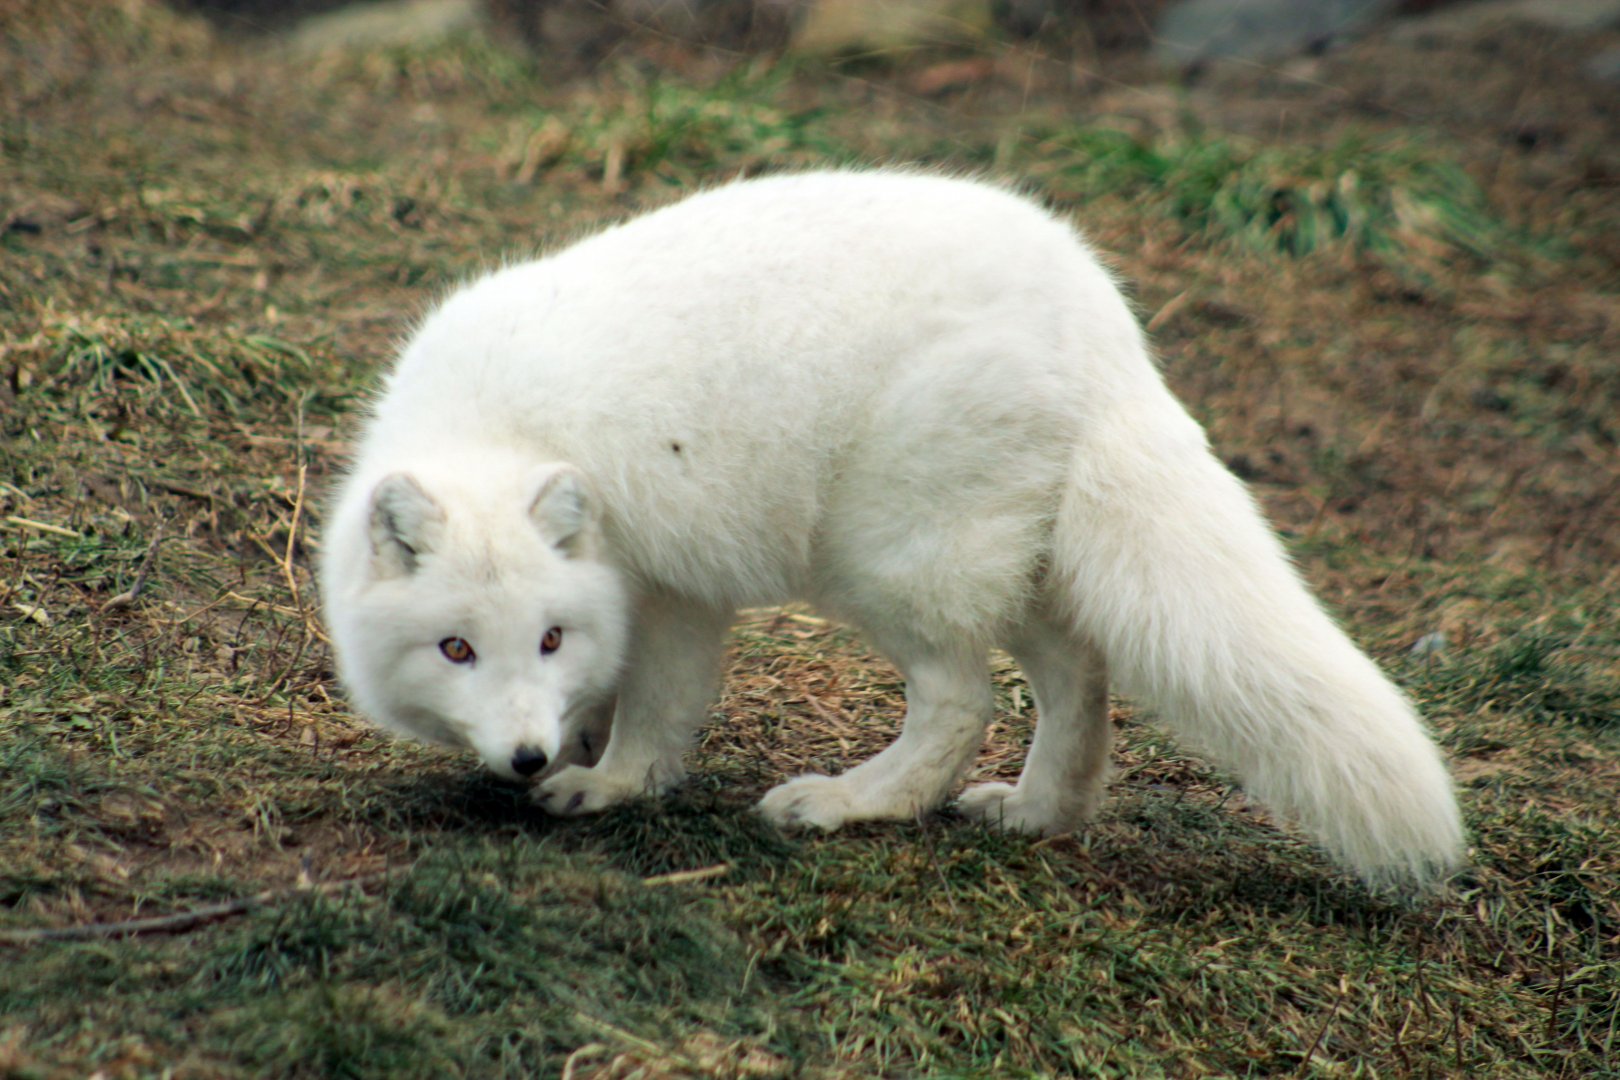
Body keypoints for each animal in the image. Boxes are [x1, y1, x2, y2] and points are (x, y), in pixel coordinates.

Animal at [320, 169, 1464, 887]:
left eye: (547, 637)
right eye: (457, 649)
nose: (520, 758)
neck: (493, 424)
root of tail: (1105, 323)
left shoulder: (669, 586)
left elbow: (658, 707)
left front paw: (606, 783)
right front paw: (584, 746)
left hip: (885, 557)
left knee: (963, 698)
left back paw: (853, 803)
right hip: (1011, 558)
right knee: (1079, 675)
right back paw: (1039, 813)